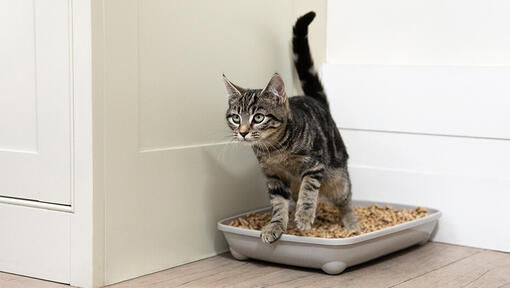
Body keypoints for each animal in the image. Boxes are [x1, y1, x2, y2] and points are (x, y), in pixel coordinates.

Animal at [222, 11, 358, 243]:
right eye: (236, 118)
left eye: (258, 117)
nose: (243, 132)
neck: (275, 149)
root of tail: (317, 102)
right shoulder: (274, 176)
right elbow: (278, 204)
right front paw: (275, 226)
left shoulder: (314, 165)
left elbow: (309, 191)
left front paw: (304, 217)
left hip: (337, 178)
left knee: (345, 198)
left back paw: (352, 224)